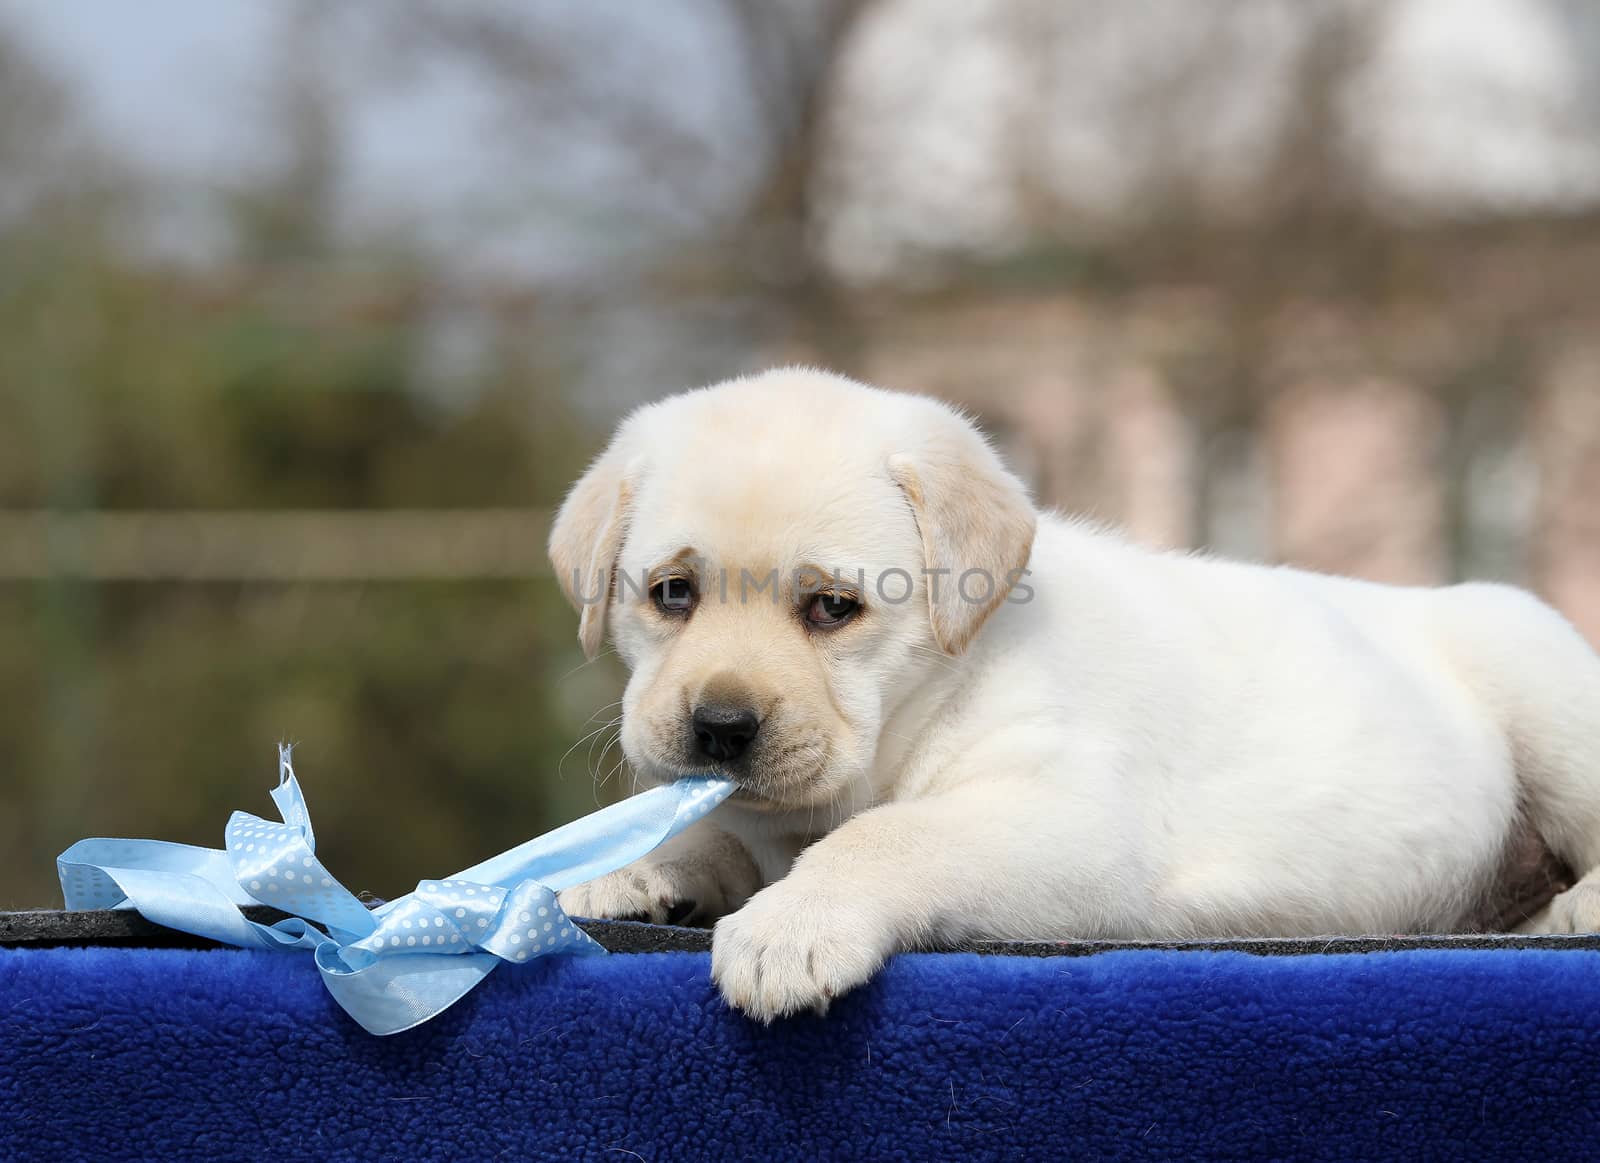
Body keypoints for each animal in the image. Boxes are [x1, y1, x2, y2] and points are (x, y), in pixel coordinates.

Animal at [553, 366, 1600, 1017]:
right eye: (672, 594)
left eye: (833, 607)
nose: (720, 725)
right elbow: (710, 829)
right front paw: (630, 872)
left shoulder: (1069, 822)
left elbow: (889, 836)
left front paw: (791, 926)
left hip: (1546, 697)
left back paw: (1577, 908)